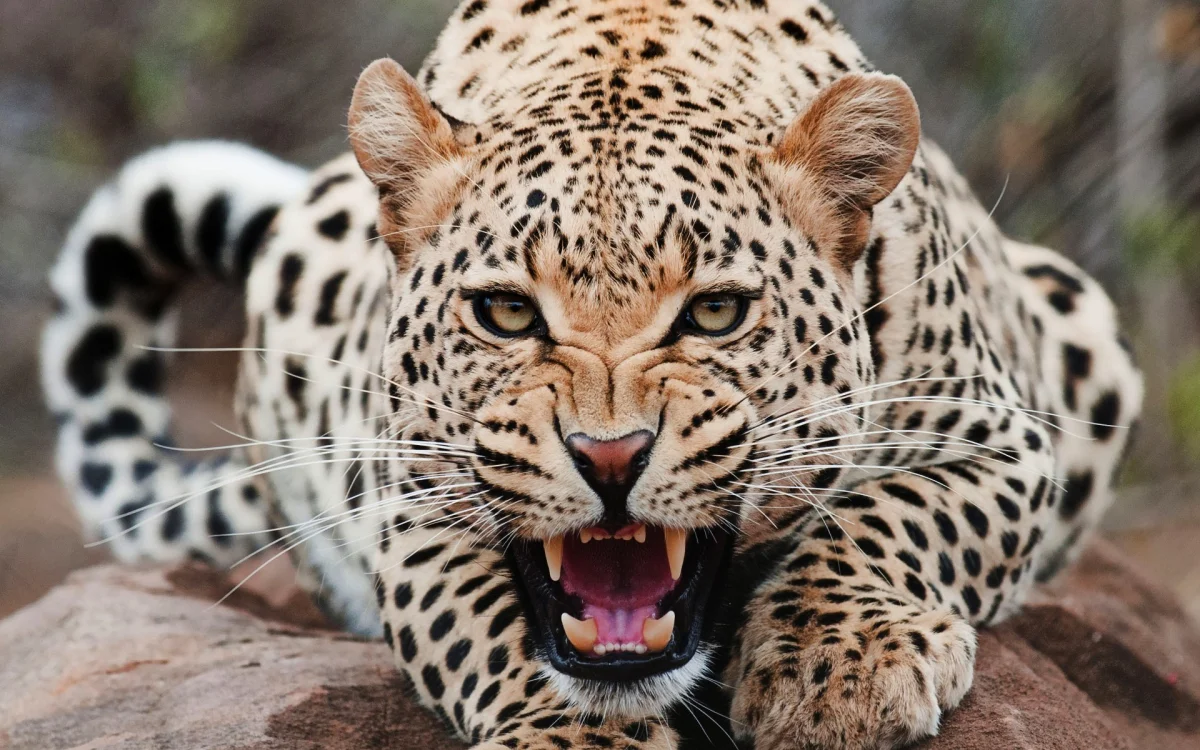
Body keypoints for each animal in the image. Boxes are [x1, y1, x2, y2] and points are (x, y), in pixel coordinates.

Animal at [41, 1, 1144, 748]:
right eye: (506, 313)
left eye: (715, 312)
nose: (610, 457)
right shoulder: (412, 505)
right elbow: (487, 625)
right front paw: (572, 737)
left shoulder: (1002, 438)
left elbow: (891, 517)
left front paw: (839, 670)